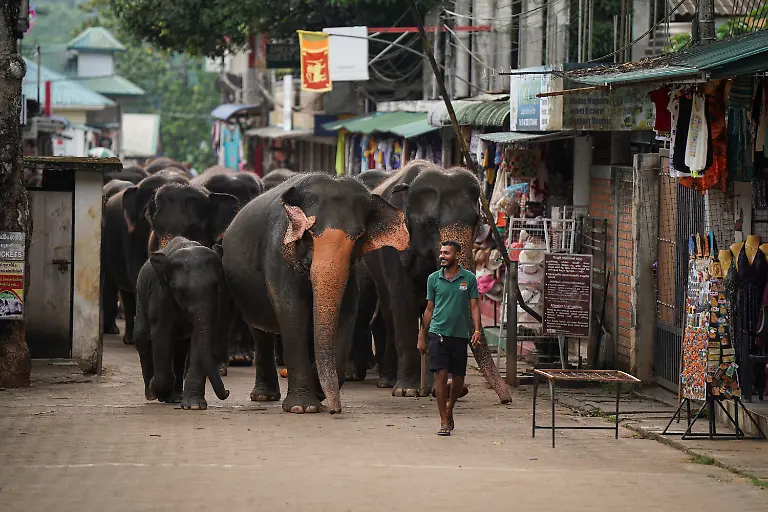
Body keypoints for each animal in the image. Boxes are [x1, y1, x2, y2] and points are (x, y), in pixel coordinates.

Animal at [133, 236, 230, 409]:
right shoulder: (160, 293)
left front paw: (194, 405)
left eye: (216, 286)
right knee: (142, 339)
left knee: (180, 350)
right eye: (179, 290)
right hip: (141, 298)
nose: (227, 392)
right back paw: (151, 394)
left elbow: (199, 338)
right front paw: (157, 389)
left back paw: (175, 397)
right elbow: (162, 332)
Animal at [220, 173, 409, 413]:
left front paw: (319, 394)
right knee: (260, 331)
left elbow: (347, 312)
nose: (336, 409)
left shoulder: (351, 270)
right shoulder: (277, 251)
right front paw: (303, 407)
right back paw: (264, 397)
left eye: (359, 237)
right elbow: (292, 310)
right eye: (309, 234)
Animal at [362, 160, 512, 403]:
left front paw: (441, 388)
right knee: (389, 308)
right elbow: (403, 299)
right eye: (430, 224)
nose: (506, 399)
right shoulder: (394, 247)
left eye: (477, 222)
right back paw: (389, 382)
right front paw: (407, 391)